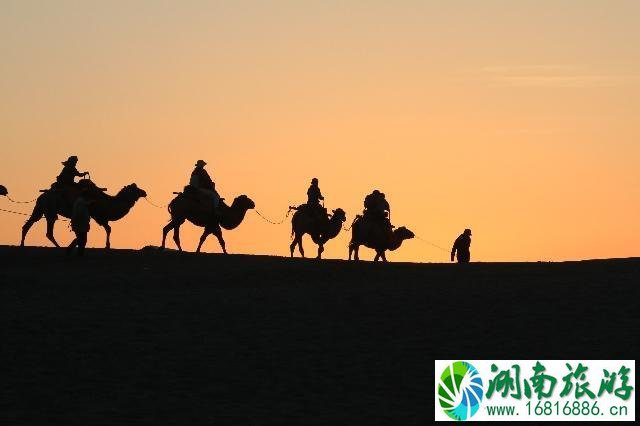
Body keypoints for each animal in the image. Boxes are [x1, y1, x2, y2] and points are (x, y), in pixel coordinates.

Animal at [19, 181, 147, 248]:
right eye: (135, 189)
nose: (144, 192)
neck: (107, 202)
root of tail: (41, 197)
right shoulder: (98, 215)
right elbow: (108, 228)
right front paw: (107, 245)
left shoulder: (100, 217)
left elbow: (108, 228)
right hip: (50, 209)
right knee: (48, 231)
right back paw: (59, 247)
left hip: (40, 208)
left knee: (29, 224)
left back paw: (22, 244)